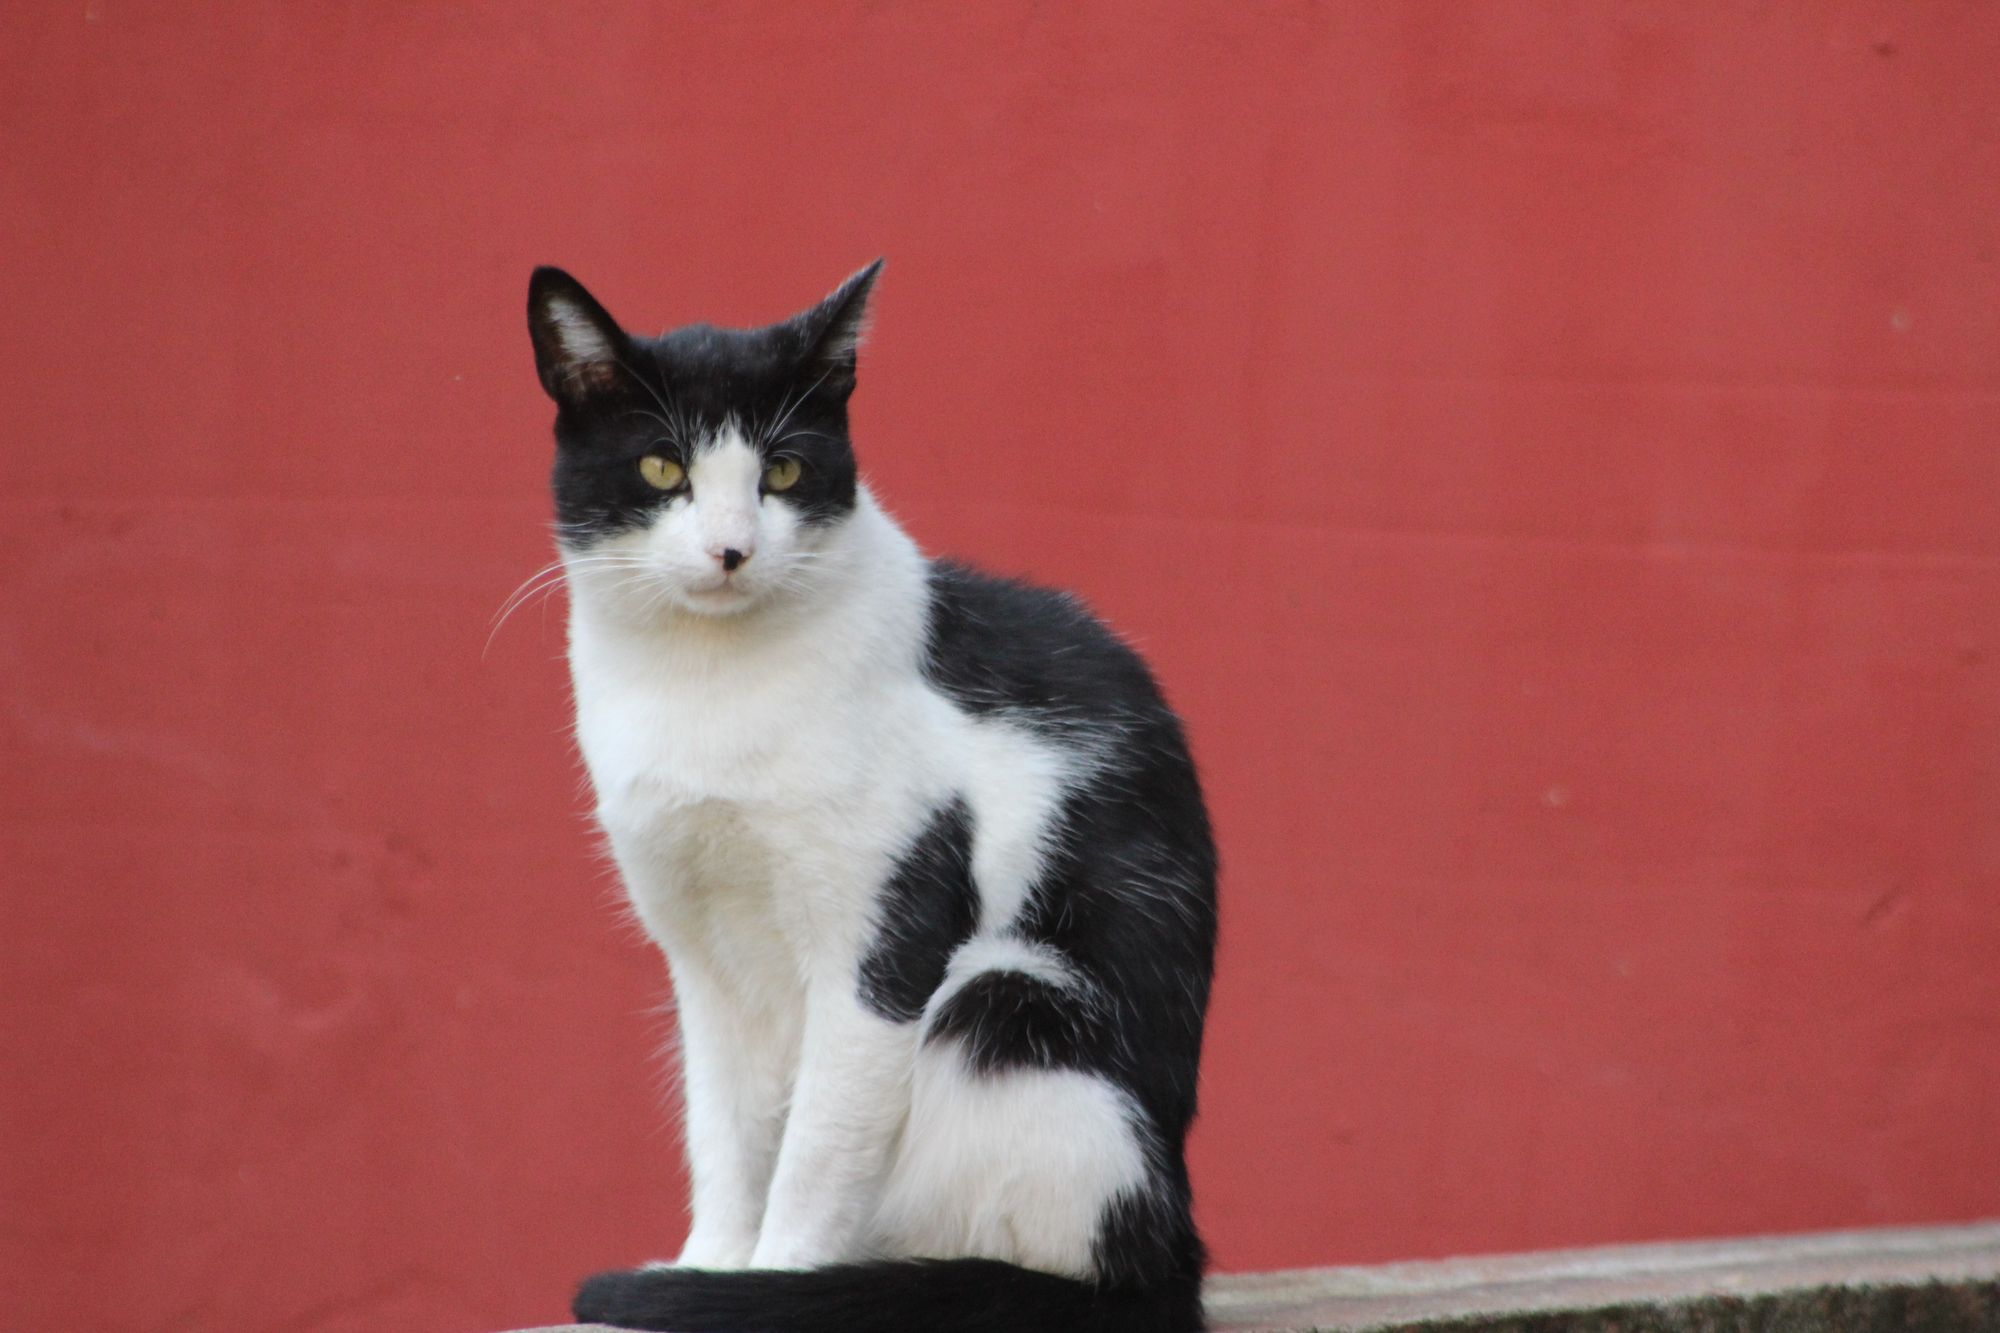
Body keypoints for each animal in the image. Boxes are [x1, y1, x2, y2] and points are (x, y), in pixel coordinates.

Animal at [528, 262, 1216, 1328]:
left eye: (781, 473)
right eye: (660, 470)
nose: (730, 548)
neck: (708, 685)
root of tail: (1173, 1258)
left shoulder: (882, 943)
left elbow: (818, 1148)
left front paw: (768, 1281)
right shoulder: (703, 959)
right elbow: (722, 1130)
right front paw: (713, 1263)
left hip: (1007, 1001)